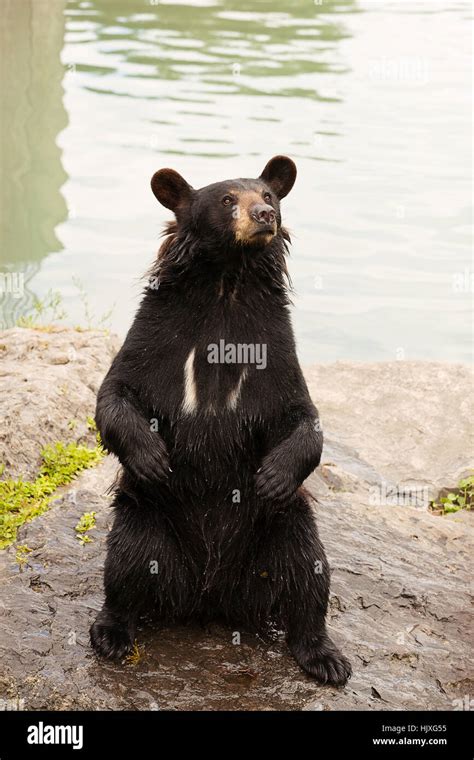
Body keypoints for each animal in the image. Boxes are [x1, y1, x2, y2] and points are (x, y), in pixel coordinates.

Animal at [90, 155, 352, 686]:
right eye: (228, 199)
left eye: (268, 196)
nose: (263, 216)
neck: (226, 284)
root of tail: (210, 596)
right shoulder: (158, 330)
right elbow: (117, 390)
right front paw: (153, 458)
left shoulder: (274, 342)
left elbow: (302, 413)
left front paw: (272, 476)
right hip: (147, 519)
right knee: (125, 565)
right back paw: (111, 634)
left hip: (285, 526)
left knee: (309, 573)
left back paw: (325, 657)